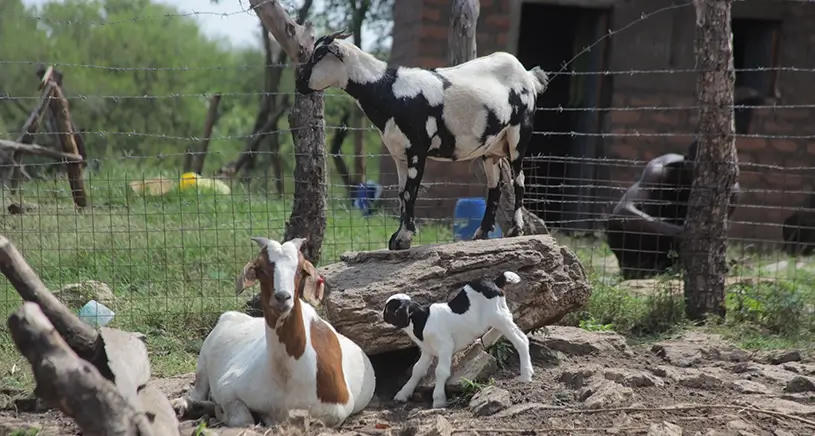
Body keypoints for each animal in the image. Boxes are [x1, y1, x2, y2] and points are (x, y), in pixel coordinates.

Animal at [174, 237, 375, 427]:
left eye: (300, 270)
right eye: (261, 269)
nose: (282, 297)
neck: (286, 373)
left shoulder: (337, 409)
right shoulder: (227, 387)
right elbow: (244, 419)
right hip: (203, 363)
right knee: (197, 392)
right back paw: (185, 406)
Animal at [296, 32, 550, 250]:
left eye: (318, 55)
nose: (299, 84)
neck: (389, 90)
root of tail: (527, 75)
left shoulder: (417, 148)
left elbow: (410, 192)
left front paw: (403, 239)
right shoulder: (398, 153)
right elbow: (401, 194)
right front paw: (397, 238)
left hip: (518, 135)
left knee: (519, 180)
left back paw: (516, 230)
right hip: (491, 147)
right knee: (495, 186)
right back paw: (481, 233)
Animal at [382, 271, 532, 408]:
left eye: (389, 308)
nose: (382, 315)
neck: (423, 319)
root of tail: (495, 282)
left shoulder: (445, 346)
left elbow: (441, 371)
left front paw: (439, 400)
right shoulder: (427, 350)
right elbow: (417, 369)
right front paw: (403, 394)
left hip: (497, 315)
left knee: (521, 340)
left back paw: (526, 374)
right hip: (499, 314)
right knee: (507, 323)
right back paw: (485, 340)